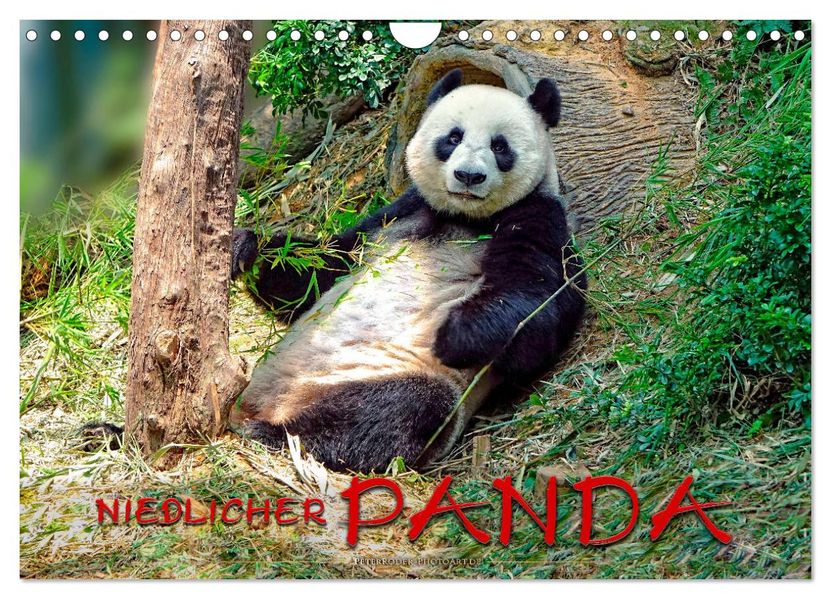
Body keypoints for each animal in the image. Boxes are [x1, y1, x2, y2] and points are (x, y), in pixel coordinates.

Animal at [229, 69, 587, 472]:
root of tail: (272, 403)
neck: (463, 217)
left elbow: (538, 307)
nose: (468, 176)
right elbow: (322, 270)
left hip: (383, 374)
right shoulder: (398, 214)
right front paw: (244, 247)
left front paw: (456, 335)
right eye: (453, 137)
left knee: (394, 410)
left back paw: (278, 435)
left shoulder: (538, 216)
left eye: (500, 146)